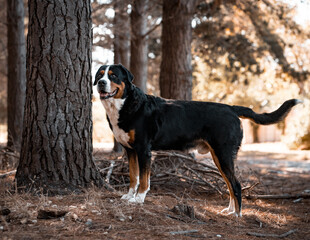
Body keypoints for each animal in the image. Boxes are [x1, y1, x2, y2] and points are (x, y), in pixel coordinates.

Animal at [94, 64, 300, 218]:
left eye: (113, 76)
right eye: (100, 75)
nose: (101, 84)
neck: (126, 105)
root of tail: (231, 108)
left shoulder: (144, 150)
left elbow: (144, 179)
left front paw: (139, 199)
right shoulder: (130, 151)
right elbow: (133, 176)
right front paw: (129, 196)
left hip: (223, 154)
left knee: (236, 185)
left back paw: (237, 215)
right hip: (219, 157)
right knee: (230, 184)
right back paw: (229, 210)